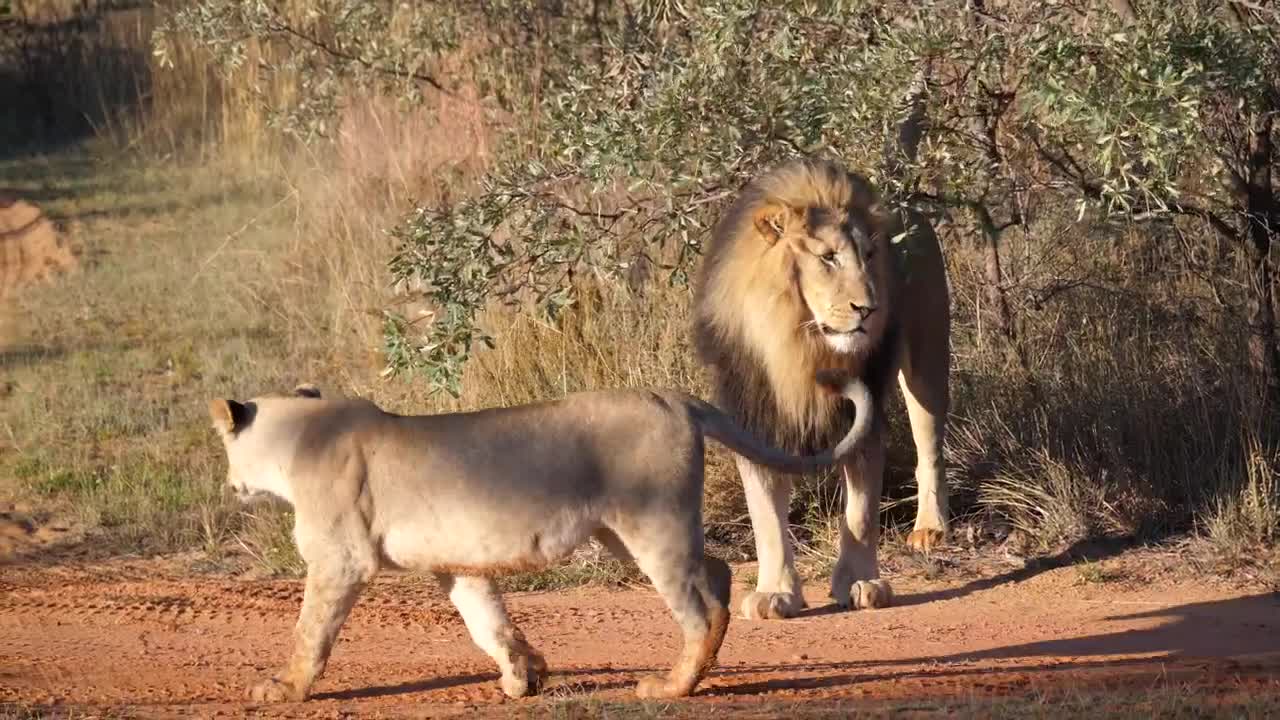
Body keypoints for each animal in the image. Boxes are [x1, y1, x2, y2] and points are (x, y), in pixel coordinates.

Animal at [207, 374, 873, 703]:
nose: (228, 483)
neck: (299, 436)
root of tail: (669, 396)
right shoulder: (456, 564)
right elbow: (488, 623)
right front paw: (524, 677)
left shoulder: (340, 560)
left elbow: (310, 632)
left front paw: (282, 688)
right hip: (624, 531)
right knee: (717, 572)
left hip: (650, 523)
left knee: (702, 608)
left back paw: (671, 687)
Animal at [693, 157, 951, 620]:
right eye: (827, 257)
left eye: (870, 256)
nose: (869, 309)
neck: (800, 345)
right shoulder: (754, 413)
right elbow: (765, 514)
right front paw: (775, 592)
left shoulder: (865, 410)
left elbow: (861, 510)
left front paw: (861, 582)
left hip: (928, 359)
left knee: (929, 446)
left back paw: (930, 528)